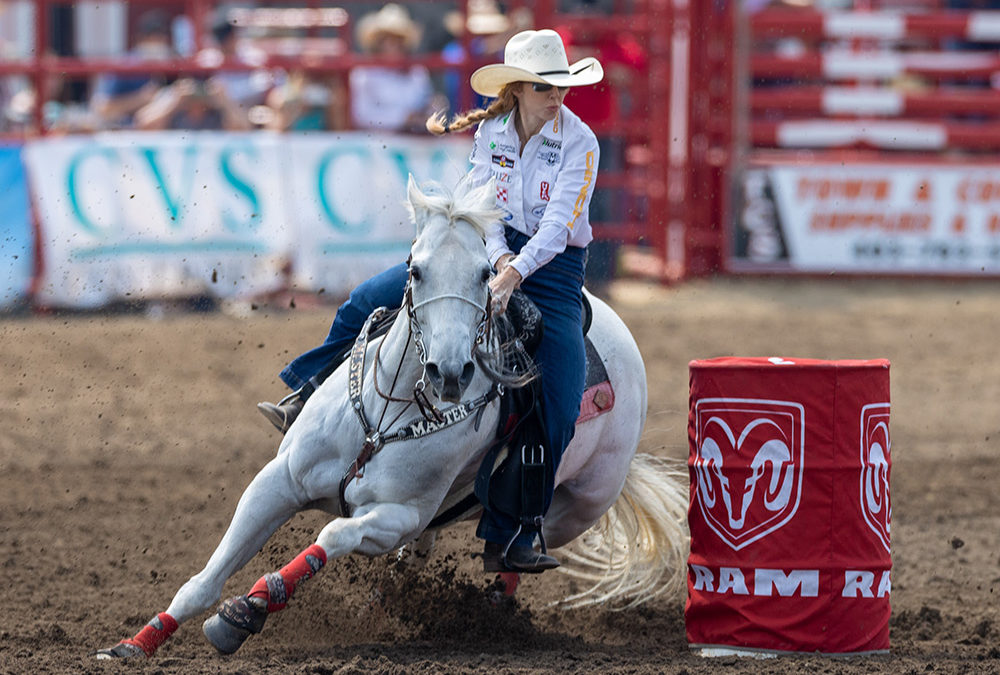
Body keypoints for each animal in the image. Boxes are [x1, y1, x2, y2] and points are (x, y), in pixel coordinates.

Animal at [95, 176, 688, 660]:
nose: (450, 372)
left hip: (577, 507)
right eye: (415, 268)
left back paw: (495, 604)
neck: (386, 415)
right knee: (431, 547)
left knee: (513, 547)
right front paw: (135, 644)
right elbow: (206, 578)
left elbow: (333, 535)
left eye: (485, 273)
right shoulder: (278, 481)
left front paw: (247, 612)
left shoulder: (395, 515)